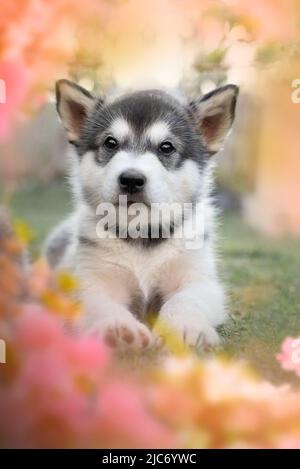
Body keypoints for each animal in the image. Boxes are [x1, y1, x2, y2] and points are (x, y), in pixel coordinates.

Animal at [45, 80, 239, 350]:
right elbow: (99, 303)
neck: (141, 235)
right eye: (110, 143)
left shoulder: (200, 279)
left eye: (166, 147)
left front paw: (184, 328)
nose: (131, 179)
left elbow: (185, 299)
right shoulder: (90, 278)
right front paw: (117, 328)